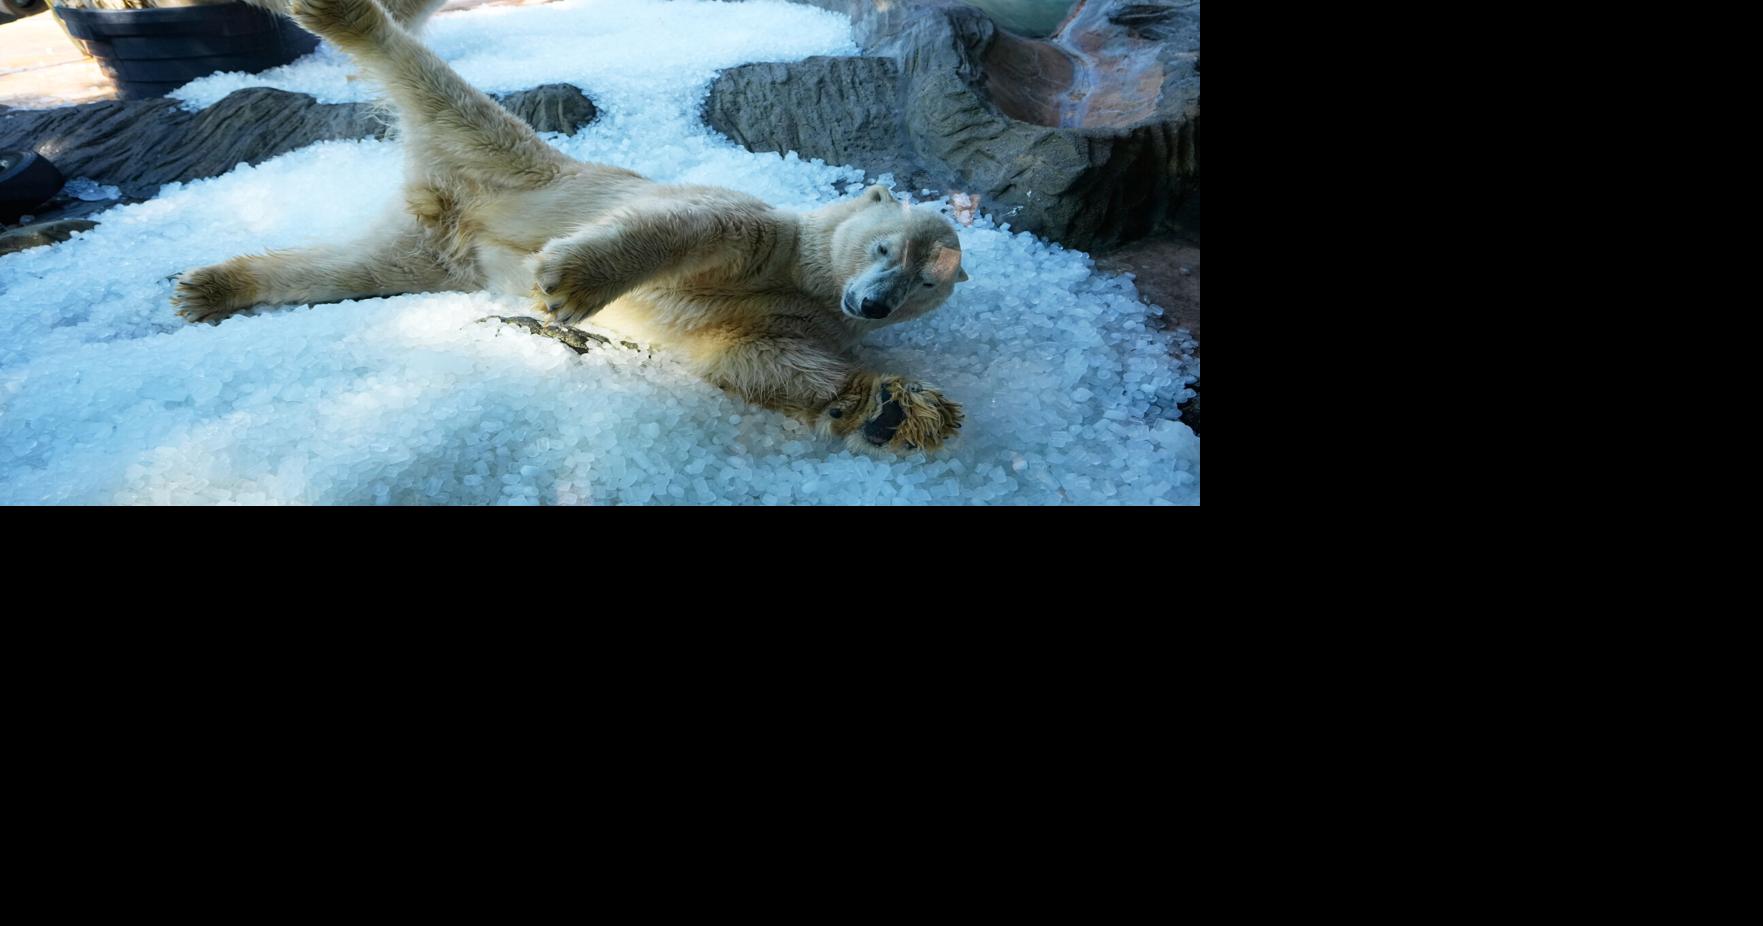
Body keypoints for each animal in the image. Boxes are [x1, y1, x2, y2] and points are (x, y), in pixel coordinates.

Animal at [175, 0, 970, 453]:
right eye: (886, 248)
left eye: (925, 283)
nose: (874, 303)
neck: (804, 276)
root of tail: (447, 204)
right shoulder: (759, 233)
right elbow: (690, 227)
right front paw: (570, 285)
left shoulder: (794, 317)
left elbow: (757, 357)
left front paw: (894, 409)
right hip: (515, 162)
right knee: (439, 90)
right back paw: (339, 13)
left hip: (436, 252)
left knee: (350, 269)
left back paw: (209, 287)